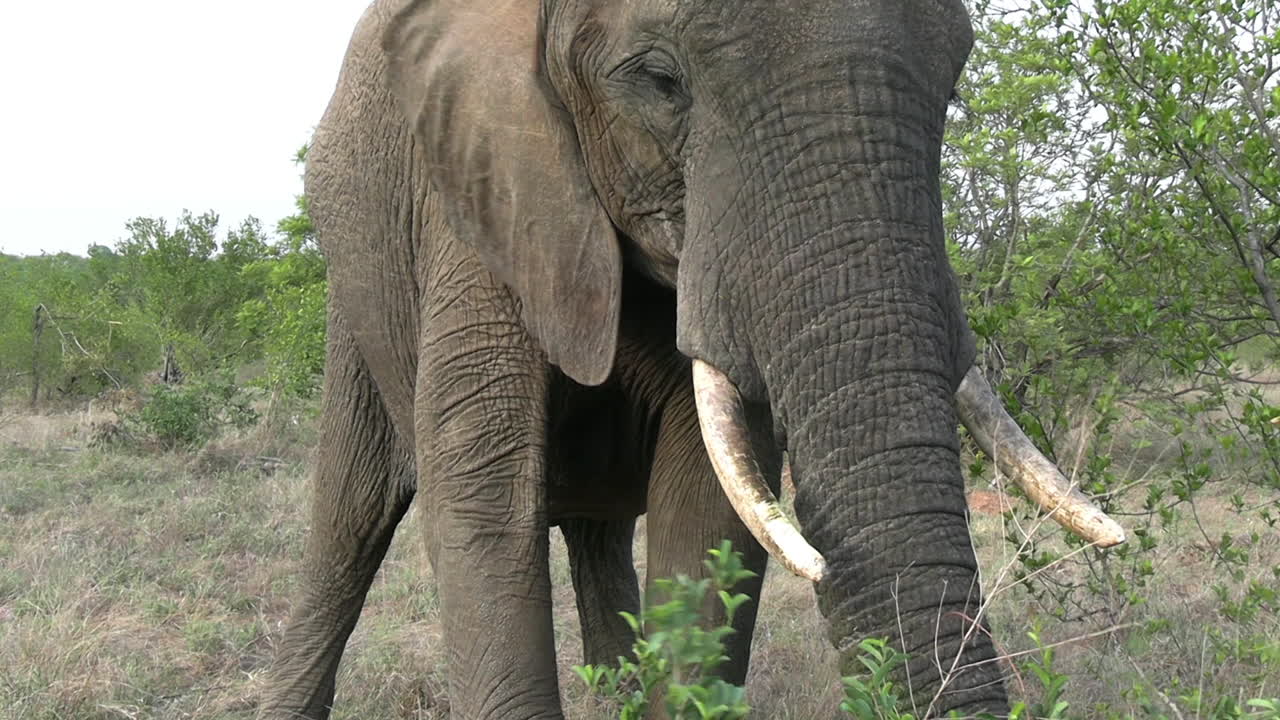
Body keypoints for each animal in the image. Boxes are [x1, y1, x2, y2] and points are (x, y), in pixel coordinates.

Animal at [259, 0, 1124, 717]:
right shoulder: (478, 193)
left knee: (596, 538)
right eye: (660, 81)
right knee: (349, 522)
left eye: (951, 82)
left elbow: (706, 513)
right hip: (356, 304)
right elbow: (484, 505)